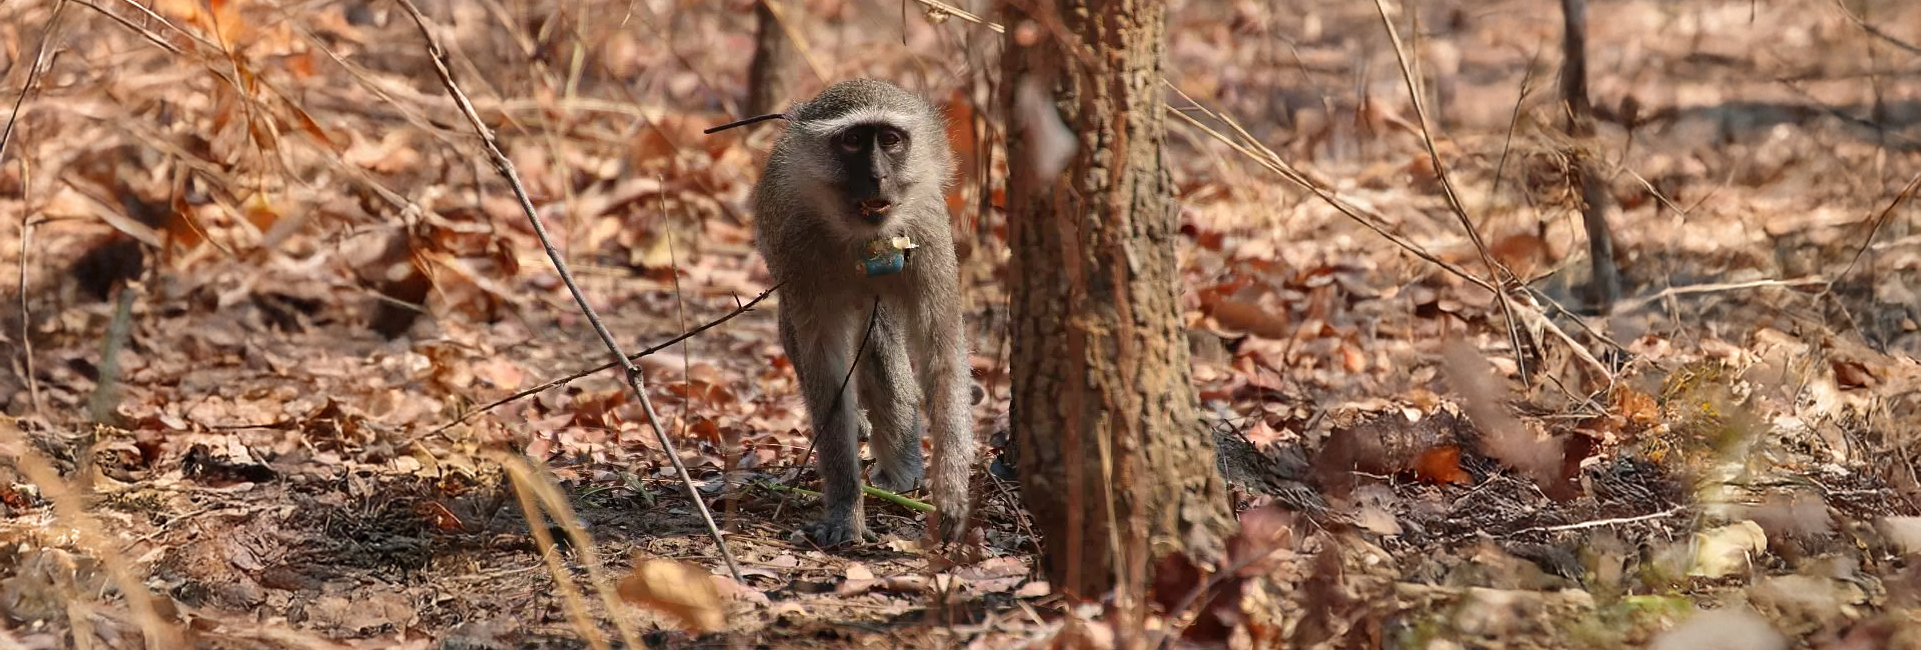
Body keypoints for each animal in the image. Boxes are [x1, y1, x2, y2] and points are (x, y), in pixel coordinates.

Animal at [749, 79, 977, 548]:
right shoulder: (796, 246)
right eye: (853, 141)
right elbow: (825, 366)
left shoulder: (926, 228)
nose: (876, 176)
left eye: (890, 140)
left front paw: (951, 490)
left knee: (882, 348)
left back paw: (904, 472)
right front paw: (845, 507)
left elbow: (941, 350)